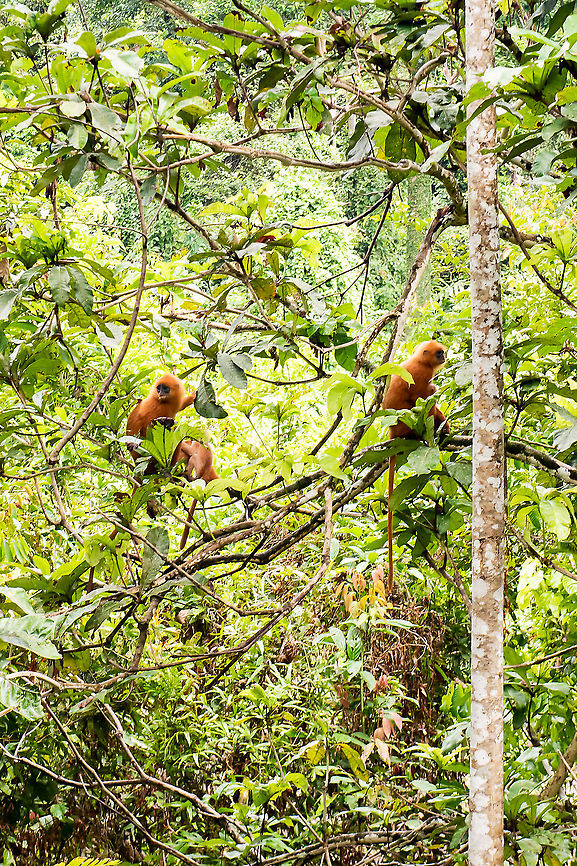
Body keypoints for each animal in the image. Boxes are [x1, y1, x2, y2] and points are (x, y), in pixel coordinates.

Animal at [382, 340, 448, 593]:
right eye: (438, 353)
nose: (444, 356)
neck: (420, 361)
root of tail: (393, 433)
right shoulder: (421, 375)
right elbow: (423, 399)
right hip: (407, 426)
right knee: (421, 405)